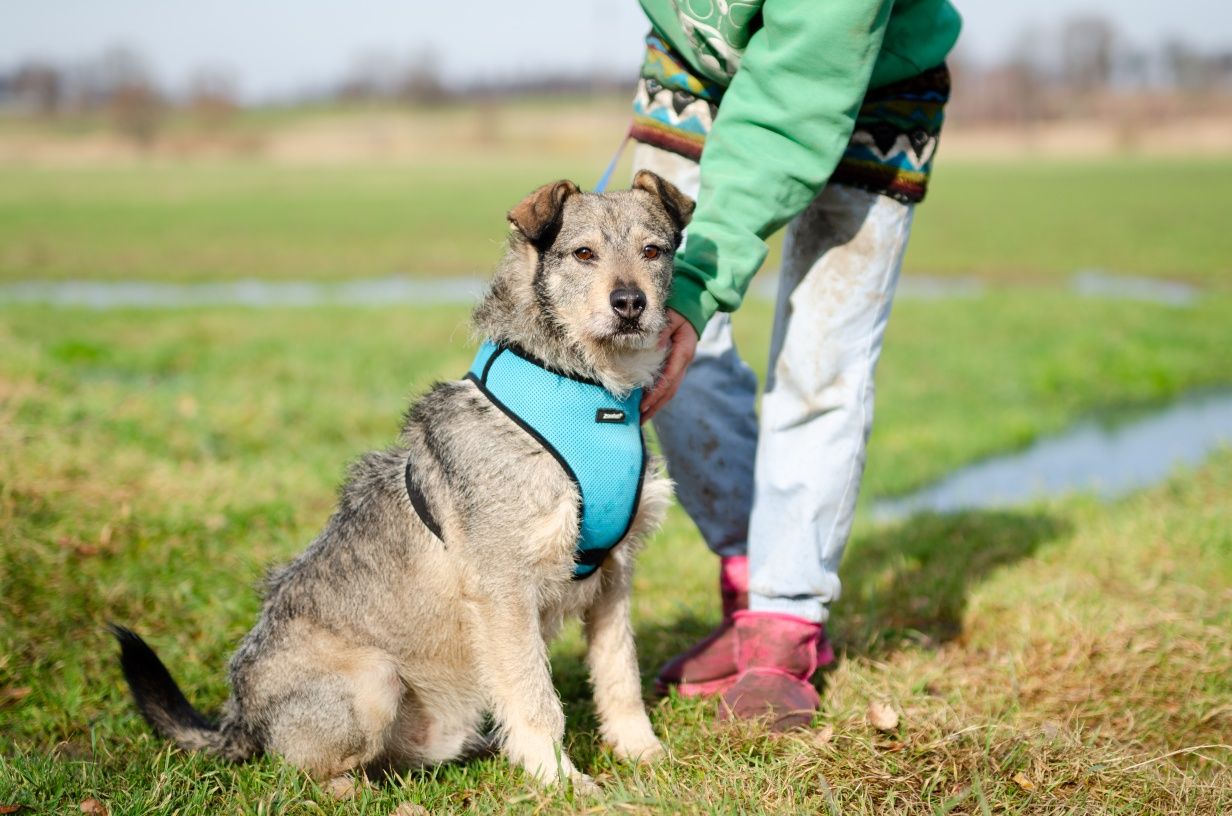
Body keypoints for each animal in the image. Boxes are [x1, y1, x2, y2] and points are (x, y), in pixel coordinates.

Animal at [109, 171, 694, 793]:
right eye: (584, 254)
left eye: (653, 251)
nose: (629, 303)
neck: (587, 392)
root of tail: (240, 717)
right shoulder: (505, 587)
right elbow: (537, 698)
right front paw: (559, 780)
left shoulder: (614, 578)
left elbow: (620, 675)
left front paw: (642, 752)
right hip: (375, 680)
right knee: (298, 769)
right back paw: (355, 790)